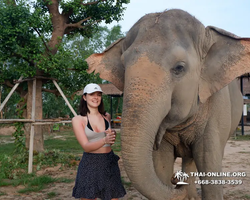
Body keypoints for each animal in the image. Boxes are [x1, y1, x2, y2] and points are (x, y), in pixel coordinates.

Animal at [86, 8, 250, 199]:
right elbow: (160, 163)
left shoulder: (217, 109)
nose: (175, 180)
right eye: (123, 68)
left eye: (179, 68)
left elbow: (209, 163)